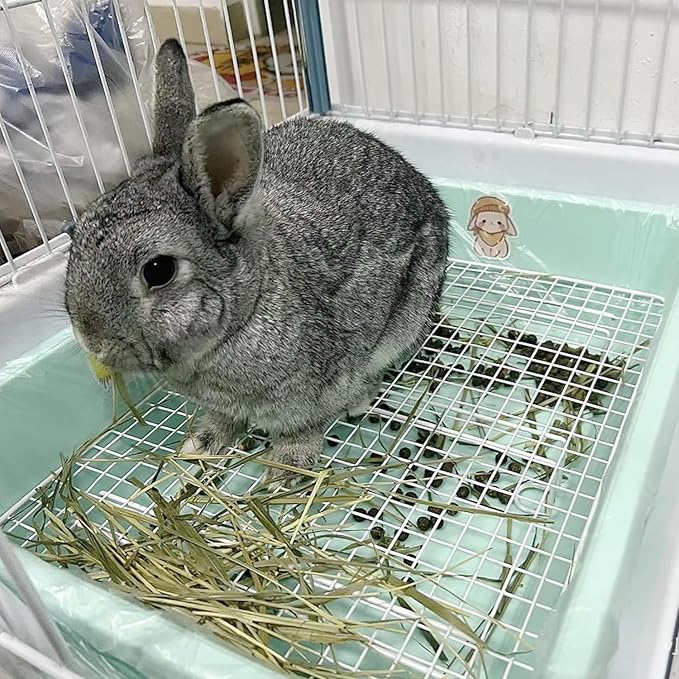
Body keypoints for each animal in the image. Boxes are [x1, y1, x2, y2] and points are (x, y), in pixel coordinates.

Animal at [64, 39, 450, 483]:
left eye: (158, 271)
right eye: (73, 234)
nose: (91, 341)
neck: (244, 312)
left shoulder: (314, 392)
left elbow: (304, 429)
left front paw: (286, 472)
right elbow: (222, 421)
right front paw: (200, 446)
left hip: (410, 314)